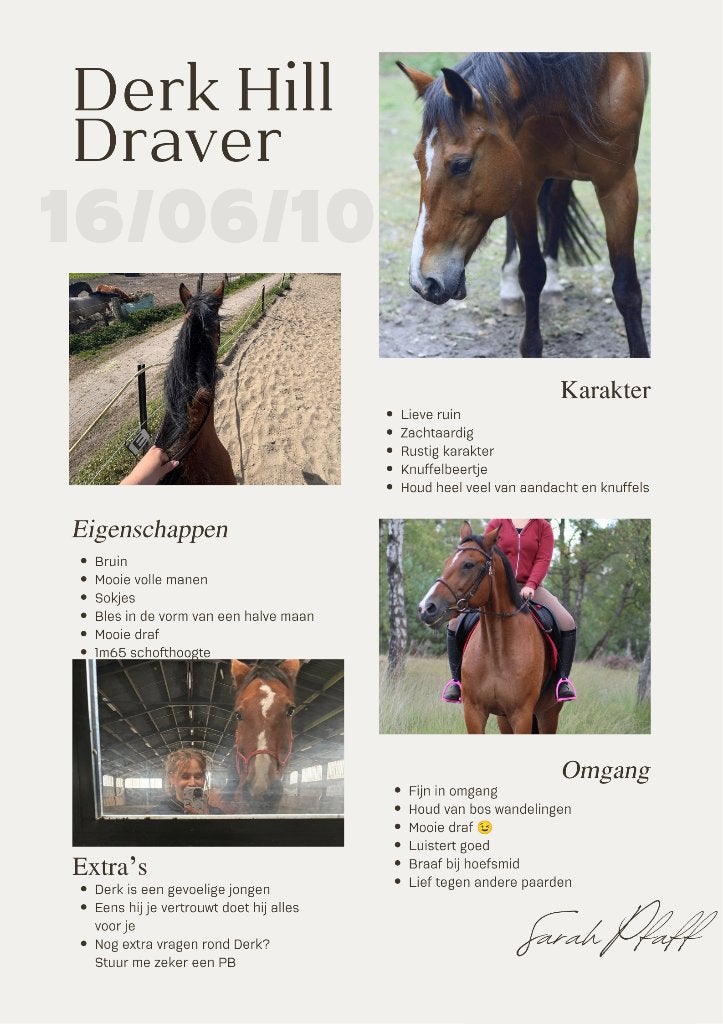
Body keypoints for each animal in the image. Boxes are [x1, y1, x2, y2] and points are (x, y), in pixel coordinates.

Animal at [399, 53, 649, 357]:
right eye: (417, 159)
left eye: (461, 165)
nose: (422, 281)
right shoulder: (524, 182)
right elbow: (530, 273)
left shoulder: (619, 185)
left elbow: (626, 285)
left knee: (557, 204)